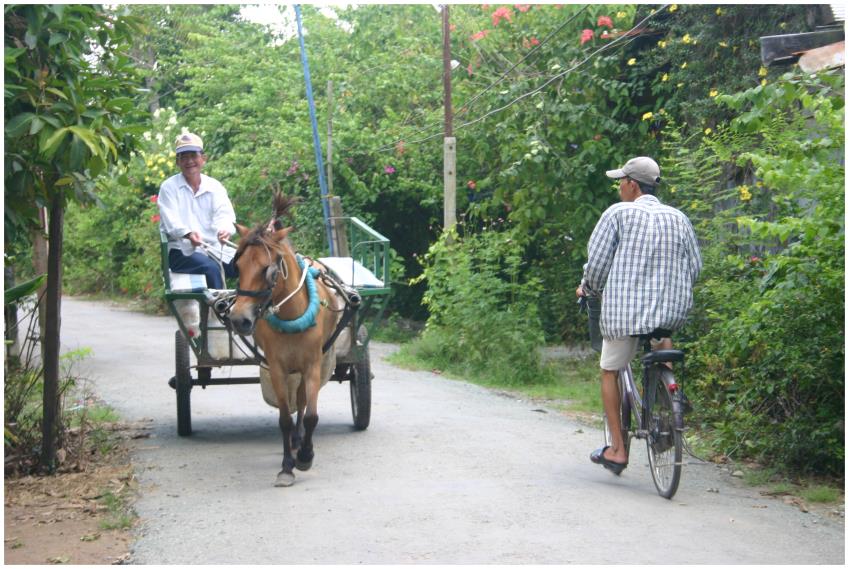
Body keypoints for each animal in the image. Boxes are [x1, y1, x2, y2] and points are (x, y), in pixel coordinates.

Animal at [230, 194, 342, 484]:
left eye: (267, 269)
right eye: (238, 266)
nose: (239, 319)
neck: (292, 314)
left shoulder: (312, 364)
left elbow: (311, 414)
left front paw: (305, 456)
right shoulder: (278, 369)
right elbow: (283, 419)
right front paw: (287, 467)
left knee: (302, 401)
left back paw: (299, 441)